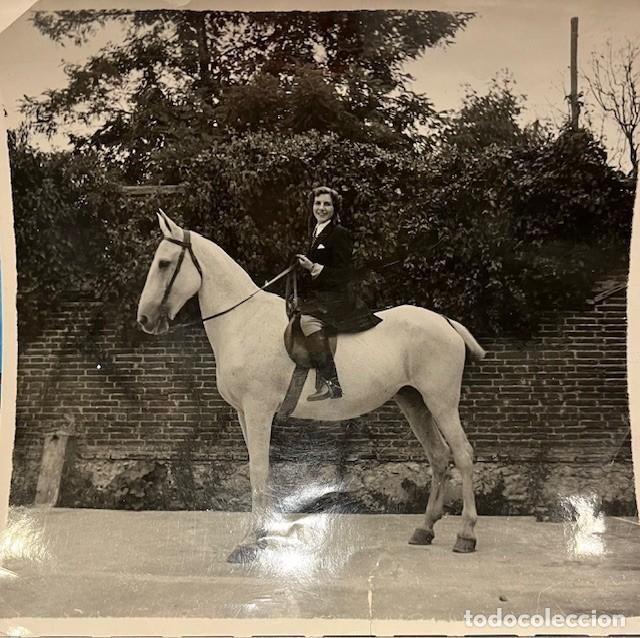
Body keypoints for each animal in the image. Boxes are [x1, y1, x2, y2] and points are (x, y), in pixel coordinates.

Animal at [137, 211, 486, 562]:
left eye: (164, 263)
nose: (144, 319)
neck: (244, 321)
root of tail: (445, 322)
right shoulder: (244, 414)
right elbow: (257, 470)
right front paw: (262, 535)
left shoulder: (259, 411)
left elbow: (259, 470)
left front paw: (249, 541)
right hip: (414, 402)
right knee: (439, 457)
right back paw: (425, 529)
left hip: (441, 402)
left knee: (463, 454)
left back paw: (467, 534)